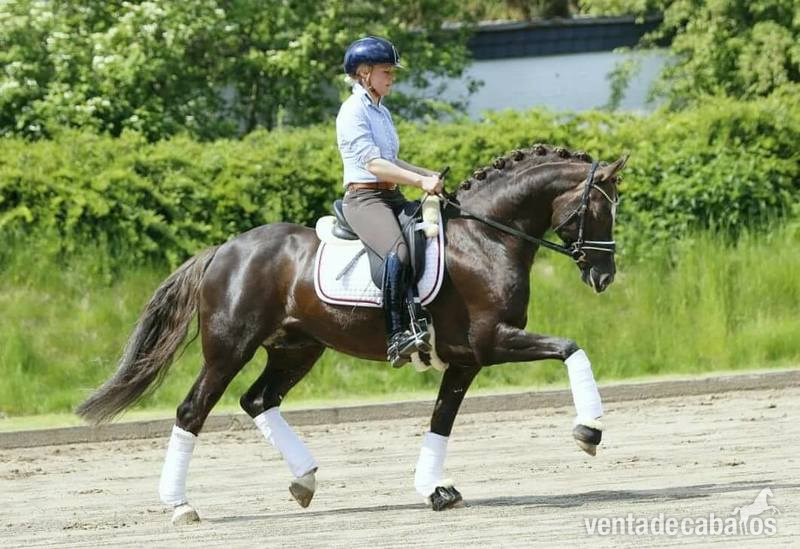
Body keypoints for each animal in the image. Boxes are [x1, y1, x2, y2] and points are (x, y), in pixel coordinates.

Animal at [77, 144, 627, 525]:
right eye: (600, 211)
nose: (604, 277)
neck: (487, 237)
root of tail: (223, 250)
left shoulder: (466, 359)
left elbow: (441, 421)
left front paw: (434, 490)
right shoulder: (493, 341)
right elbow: (572, 348)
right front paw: (589, 432)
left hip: (297, 349)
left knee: (258, 400)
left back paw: (303, 481)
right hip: (229, 349)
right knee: (193, 411)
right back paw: (181, 505)